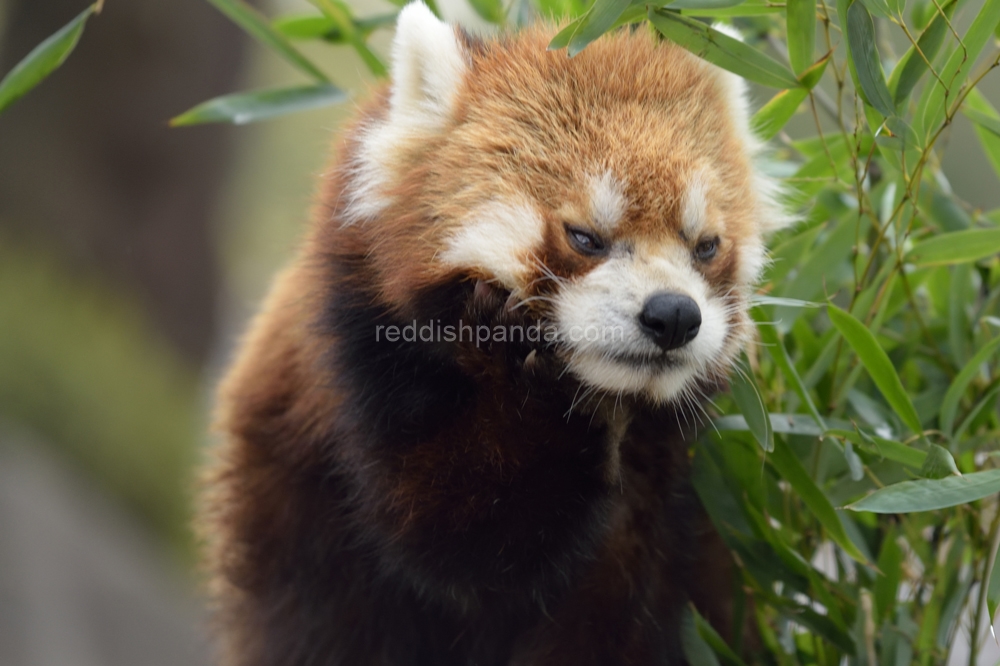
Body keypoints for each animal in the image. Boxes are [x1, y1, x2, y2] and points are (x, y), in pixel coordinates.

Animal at [201, 2, 788, 660]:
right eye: (584, 237)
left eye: (706, 246)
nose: (674, 316)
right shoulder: (364, 352)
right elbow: (456, 541)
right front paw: (529, 383)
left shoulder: (666, 485)